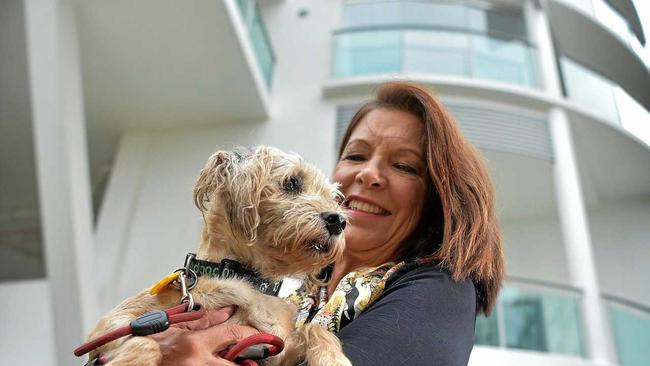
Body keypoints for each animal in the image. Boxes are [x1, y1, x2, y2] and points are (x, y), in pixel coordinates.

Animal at [85, 147, 352, 366]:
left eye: (334, 197)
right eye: (292, 182)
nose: (339, 221)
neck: (246, 279)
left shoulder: (275, 350)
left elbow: (313, 330)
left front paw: (333, 359)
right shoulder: (108, 328)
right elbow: (145, 342)